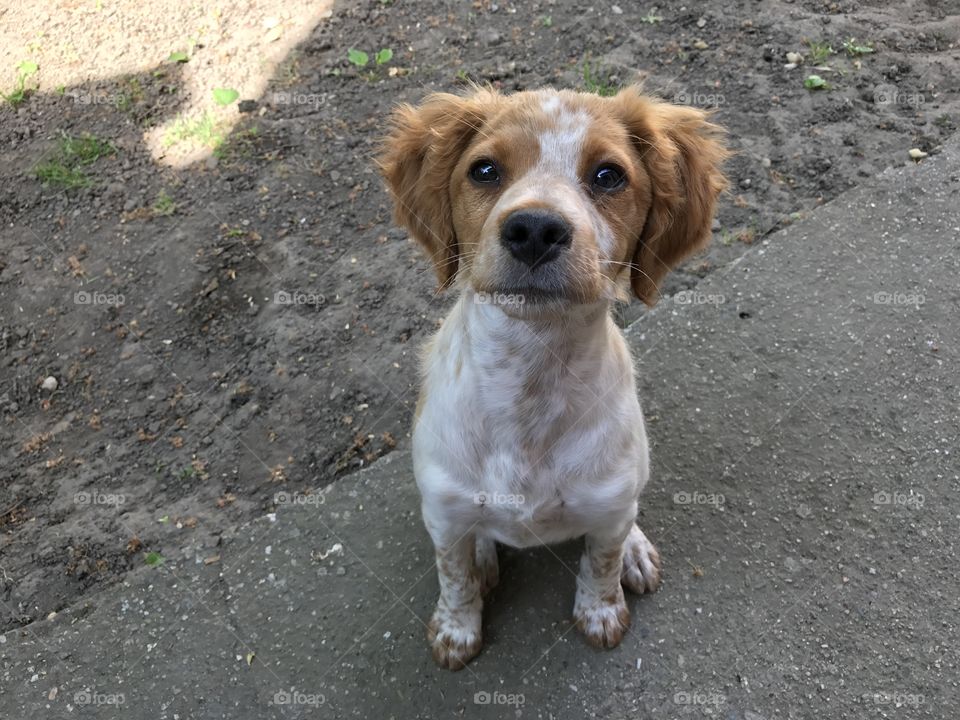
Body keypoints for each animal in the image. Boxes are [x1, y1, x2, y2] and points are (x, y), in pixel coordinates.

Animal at [378, 87, 724, 672]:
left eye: (608, 175)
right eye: (484, 170)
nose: (534, 229)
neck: (531, 381)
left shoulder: (607, 508)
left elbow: (601, 562)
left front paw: (601, 612)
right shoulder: (442, 513)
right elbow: (454, 576)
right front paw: (456, 629)